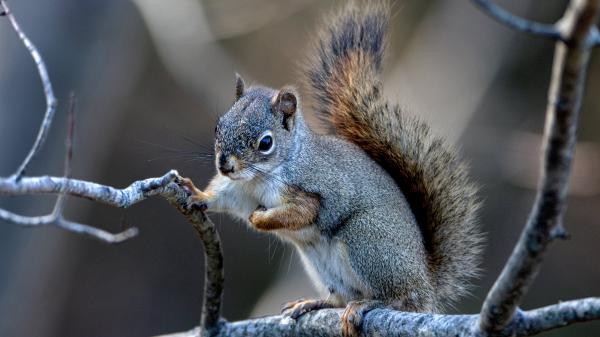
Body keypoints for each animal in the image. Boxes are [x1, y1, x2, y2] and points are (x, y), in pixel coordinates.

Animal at [183, 1, 482, 334]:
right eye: (218, 126)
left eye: (265, 143)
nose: (225, 165)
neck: (259, 178)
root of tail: (426, 285)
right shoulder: (237, 190)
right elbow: (222, 198)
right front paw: (196, 194)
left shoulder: (311, 188)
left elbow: (302, 212)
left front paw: (260, 219)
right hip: (324, 268)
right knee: (340, 296)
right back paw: (315, 302)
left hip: (367, 240)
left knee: (399, 297)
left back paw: (368, 304)